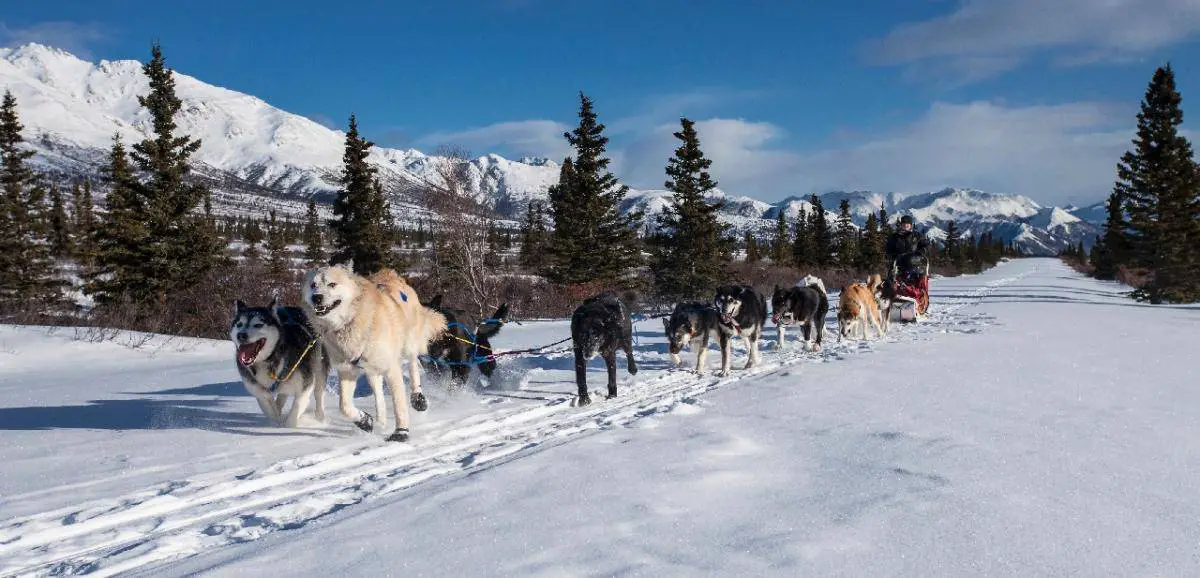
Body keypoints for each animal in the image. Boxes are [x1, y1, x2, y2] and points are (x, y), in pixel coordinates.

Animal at [229, 298, 328, 429]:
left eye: (258, 325)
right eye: (239, 324)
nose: (241, 335)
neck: (271, 358)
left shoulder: (305, 387)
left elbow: (295, 410)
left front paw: (287, 427)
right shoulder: (259, 392)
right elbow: (270, 410)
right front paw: (277, 422)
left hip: (319, 369)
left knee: (319, 394)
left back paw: (320, 418)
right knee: (282, 396)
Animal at [302, 261, 448, 443]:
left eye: (332, 284)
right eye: (313, 285)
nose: (316, 297)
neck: (350, 321)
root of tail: (390, 274)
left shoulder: (391, 368)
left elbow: (398, 404)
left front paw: (401, 432)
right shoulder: (347, 371)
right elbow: (344, 407)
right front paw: (365, 421)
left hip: (408, 345)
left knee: (413, 363)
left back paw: (418, 399)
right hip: (372, 371)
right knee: (378, 395)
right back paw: (381, 422)